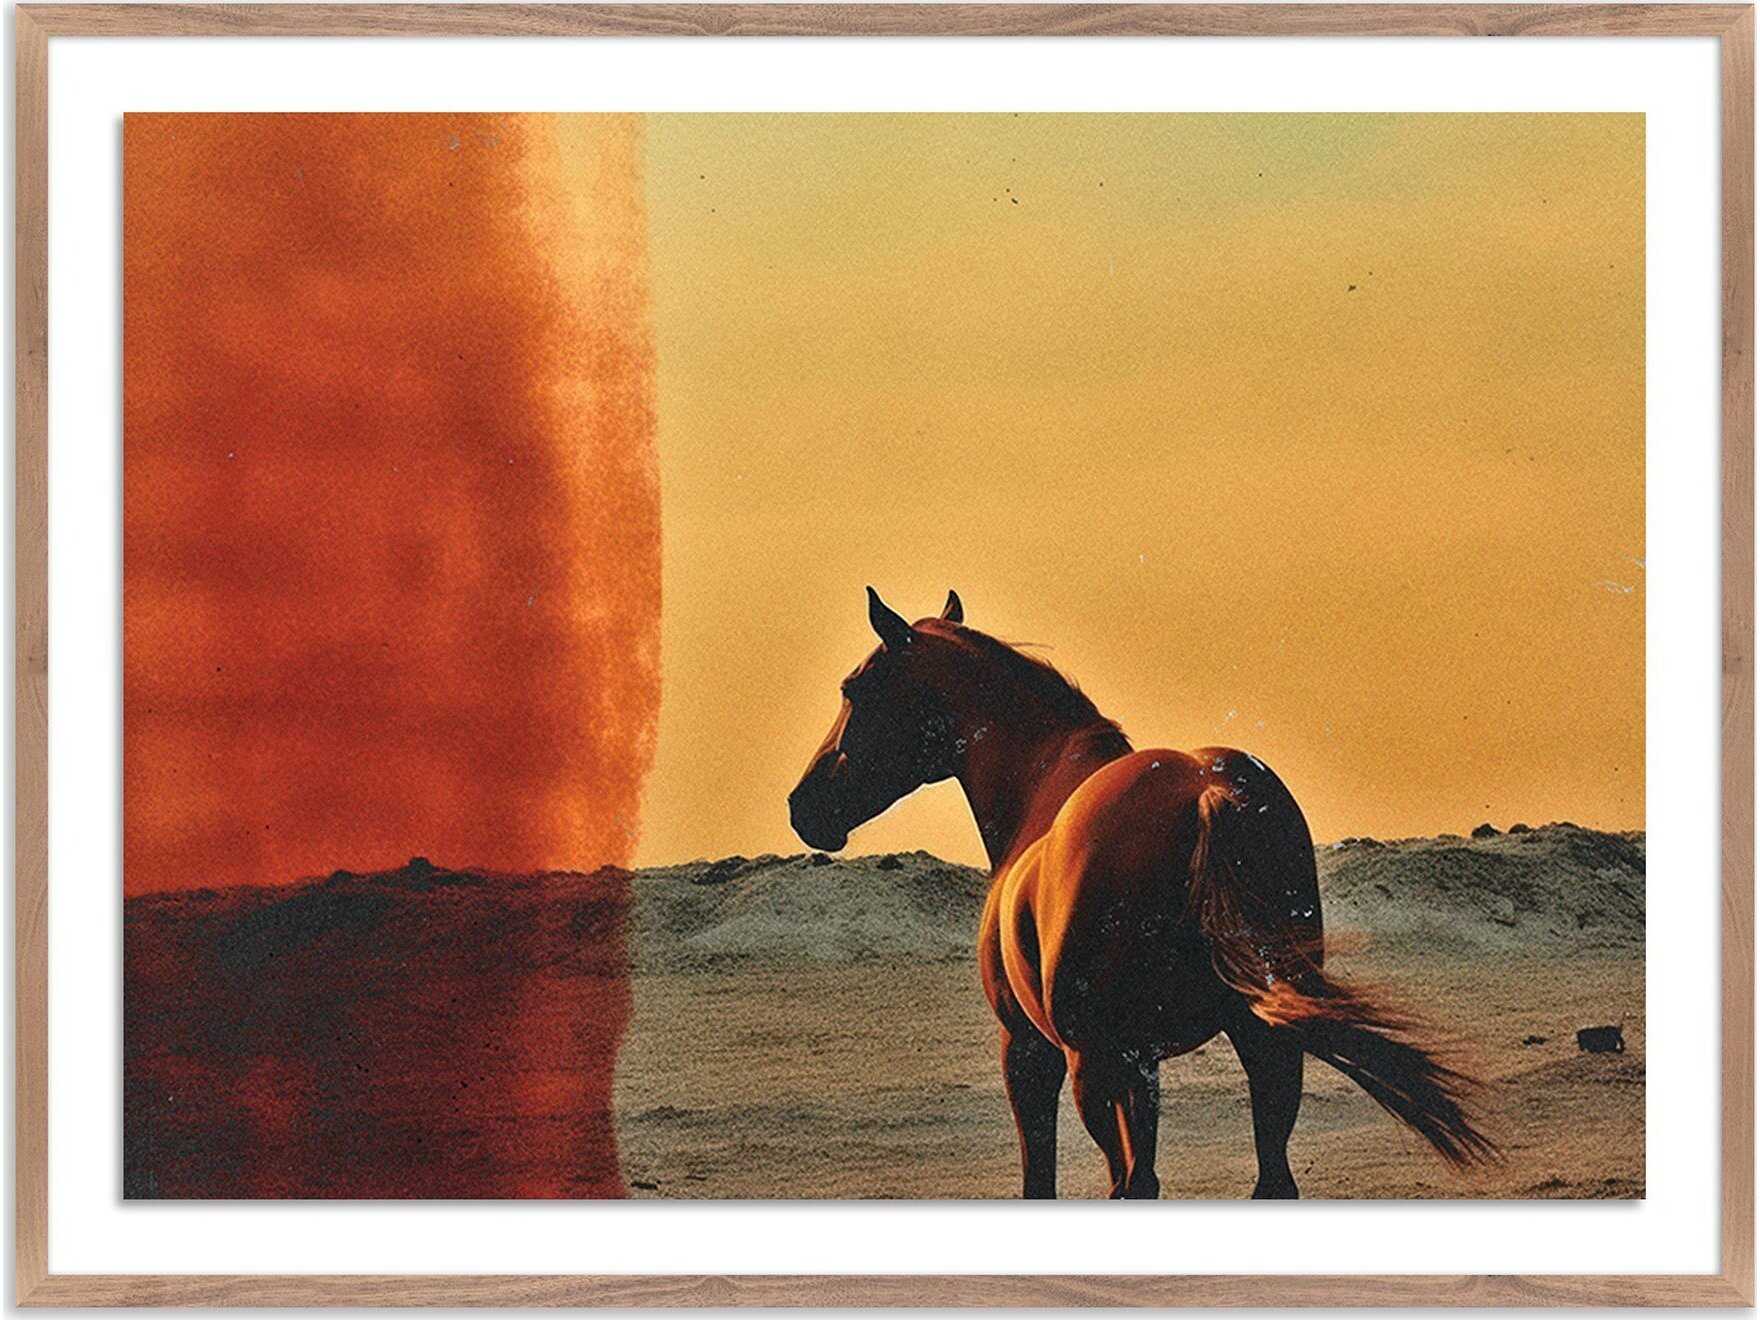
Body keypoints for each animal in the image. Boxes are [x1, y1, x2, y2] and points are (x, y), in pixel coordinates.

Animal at [788, 587, 1494, 1199]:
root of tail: (1209, 793)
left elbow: (1044, 1183)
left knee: (1134, 1185)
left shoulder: (1033, 1053)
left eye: (854, 689)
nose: (804, 806)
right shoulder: (1144, 1063)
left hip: (1097, 1068)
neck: (1042, 786)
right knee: (1269, 1181)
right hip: (1264, 1045)